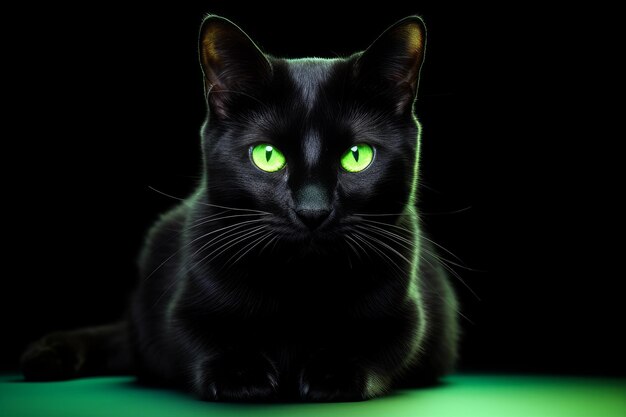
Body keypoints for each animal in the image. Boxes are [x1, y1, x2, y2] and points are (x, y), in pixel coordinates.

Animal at [20, 14, 458, 402]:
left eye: (357, 156)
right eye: (267, 155)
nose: (312, 210)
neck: (300, 287)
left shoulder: (410, 314)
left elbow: (380, 343)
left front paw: (332, 373)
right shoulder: (181, 306)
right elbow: (199, 338)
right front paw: (241, 376)